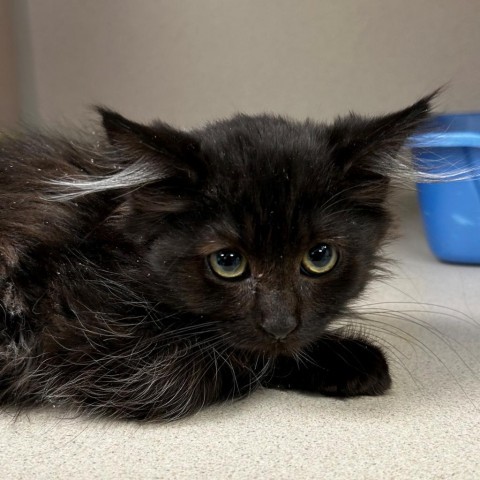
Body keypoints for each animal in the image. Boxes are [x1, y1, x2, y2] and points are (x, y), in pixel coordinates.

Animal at [0, 94, 434, 420]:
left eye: (320, 256)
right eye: (228, 262)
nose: (280, 325)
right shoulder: (101, 351)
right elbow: (236, 357)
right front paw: (354, 360)